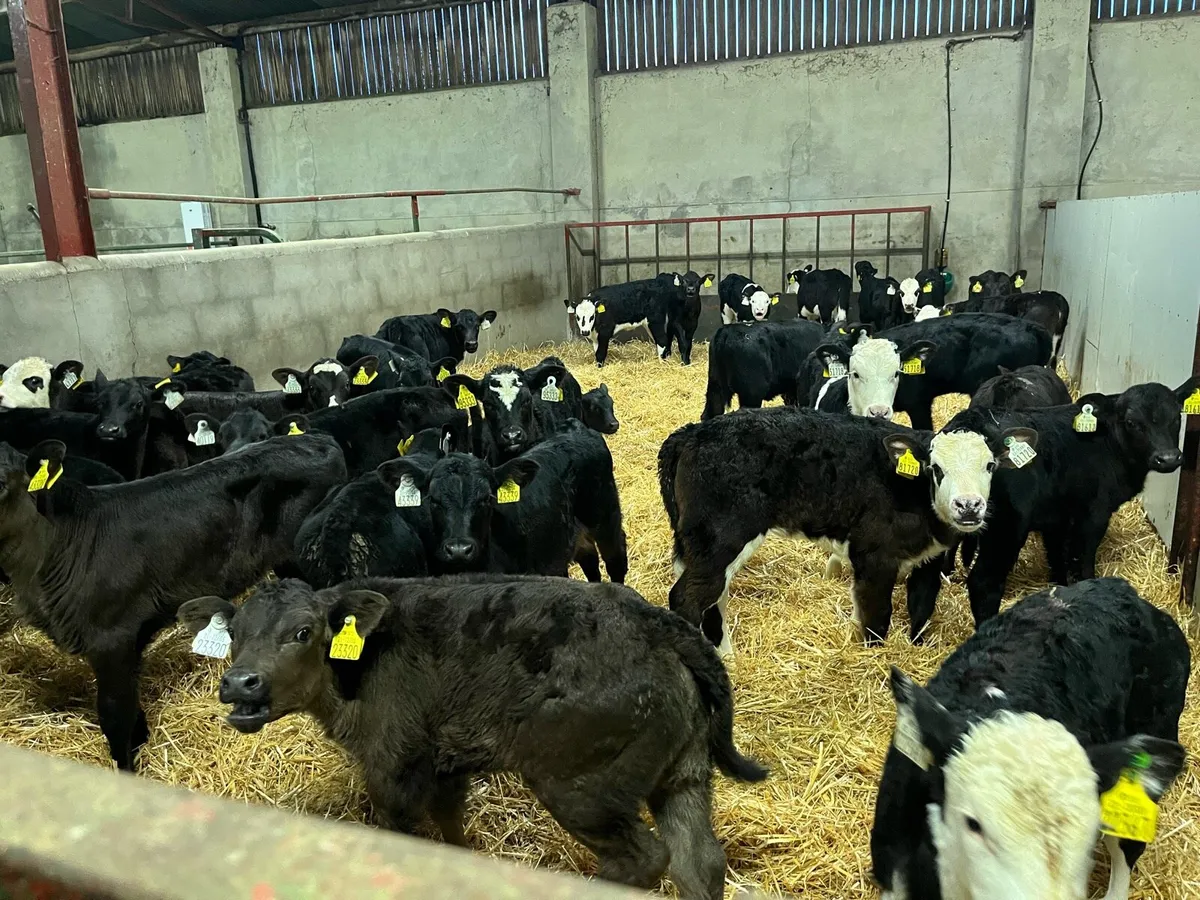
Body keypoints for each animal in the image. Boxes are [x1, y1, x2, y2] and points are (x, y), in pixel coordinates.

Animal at [178, 575, 766, 900]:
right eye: (233, 634)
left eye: (303, 632)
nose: (239, 682)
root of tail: (654, 621)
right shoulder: (444, 762)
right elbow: (450, 826)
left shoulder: (392, 766)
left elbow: (403, 838)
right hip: (683, 772)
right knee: (698, 863)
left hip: (579, 784)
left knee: (643, 859)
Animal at [659, 407, 1034, 652]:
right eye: (936, 468)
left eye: (990, 465)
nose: (968, 506)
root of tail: (690, 433)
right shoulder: (874, 555)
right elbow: (876, 615)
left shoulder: (929, 558)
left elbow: (921, 608)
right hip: (722, 538)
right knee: (689, 597)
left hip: (701, 543)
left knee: (714, 596)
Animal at [942, 376, 1200, 626]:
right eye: (1131, 422)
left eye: (1176, 417)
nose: (1168, 458)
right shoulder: (1093, 515)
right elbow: (1082, 559)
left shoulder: (1058, 517)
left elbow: (1057, 555)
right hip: (1006, 529)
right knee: (984, 583)